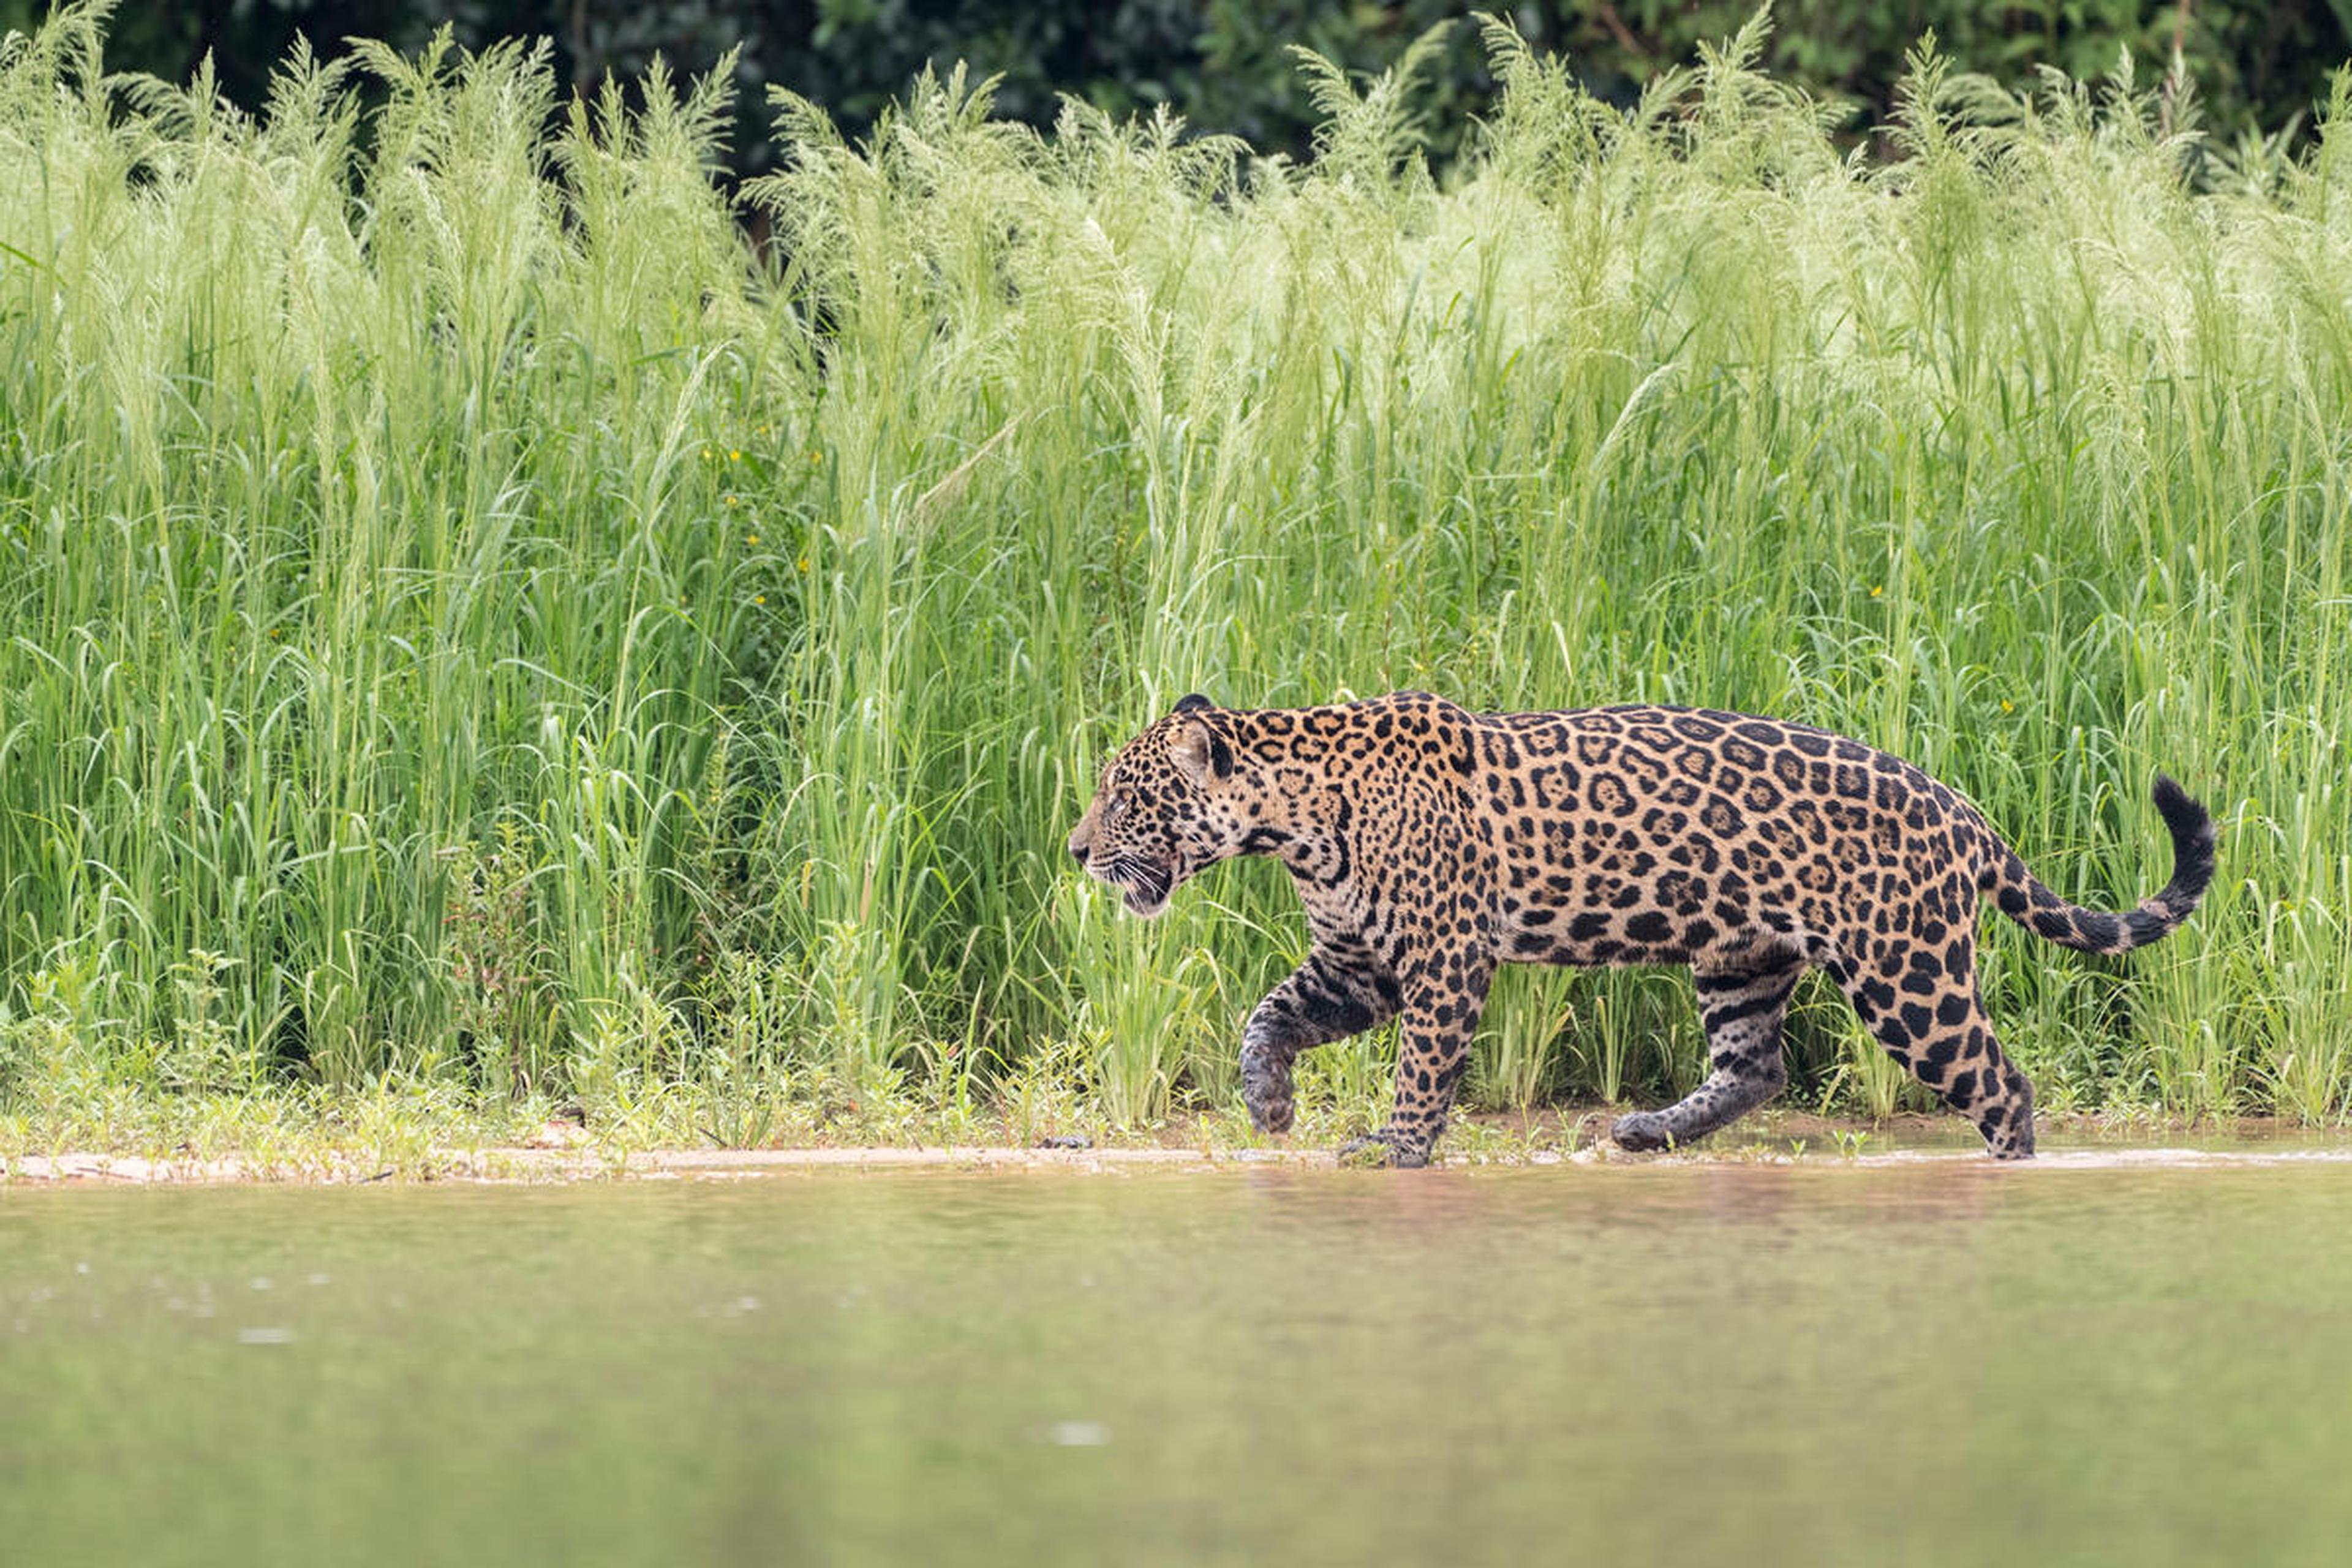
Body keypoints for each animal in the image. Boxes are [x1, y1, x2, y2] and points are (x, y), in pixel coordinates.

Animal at [1067, 691, 2215, 1167]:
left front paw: (1393, 1152)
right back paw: (1648, 1131)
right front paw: (1267, 1103)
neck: (1293, 820)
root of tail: (1964, 808)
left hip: (1907, 973)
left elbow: (1422, 1071)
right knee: (1757, 1067)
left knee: (2000, 1083)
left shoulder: (1441, 961)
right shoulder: (1358, 963)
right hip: (1744, 953)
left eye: (1124, 795)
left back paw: (2010, 1177)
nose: (1075, 851)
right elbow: (1268, 1013)